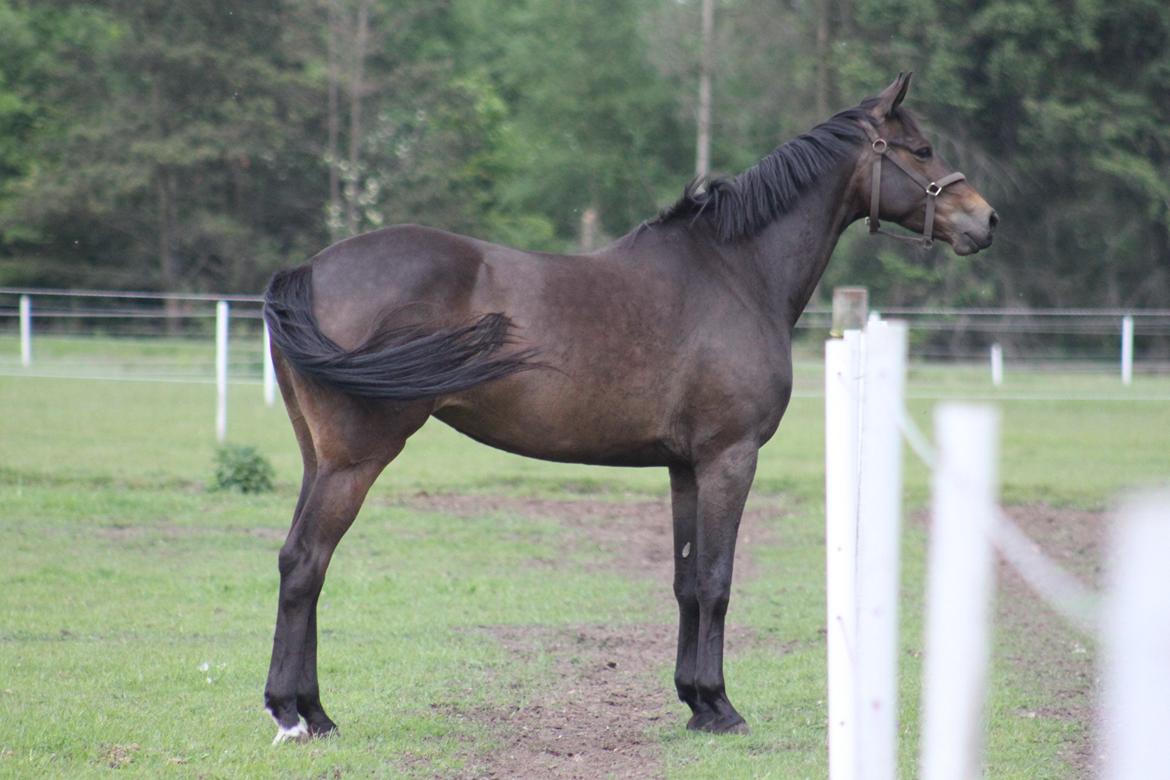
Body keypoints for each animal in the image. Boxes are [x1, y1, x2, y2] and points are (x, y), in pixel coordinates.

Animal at [258, 74, 996, 743]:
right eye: (923, 149)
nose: (986, 220)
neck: (736, 272)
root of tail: (308, 270)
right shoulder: (729, 458)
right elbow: (717, 581)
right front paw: (721, 707)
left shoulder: (684, 467)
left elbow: (686, 581)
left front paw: (695, 701)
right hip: (356, 460)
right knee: (307, 563)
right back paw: (298, 715)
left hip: (317, 459)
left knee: (299, 563)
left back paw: (309, 711)